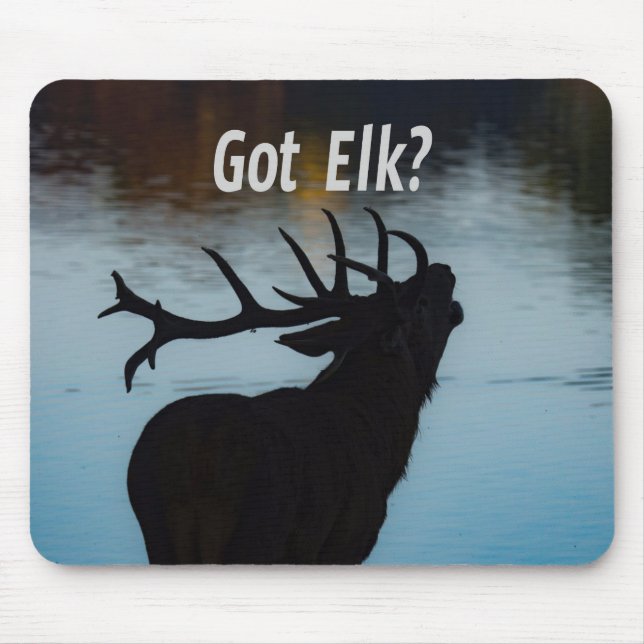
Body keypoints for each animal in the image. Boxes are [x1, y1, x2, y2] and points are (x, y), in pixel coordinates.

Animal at [99, 208, 464, 564]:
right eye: (420, 303)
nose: (444, 269)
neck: (384, 441)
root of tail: (193, 461)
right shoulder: (348, 540)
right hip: (259, 532)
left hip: (159, 534)